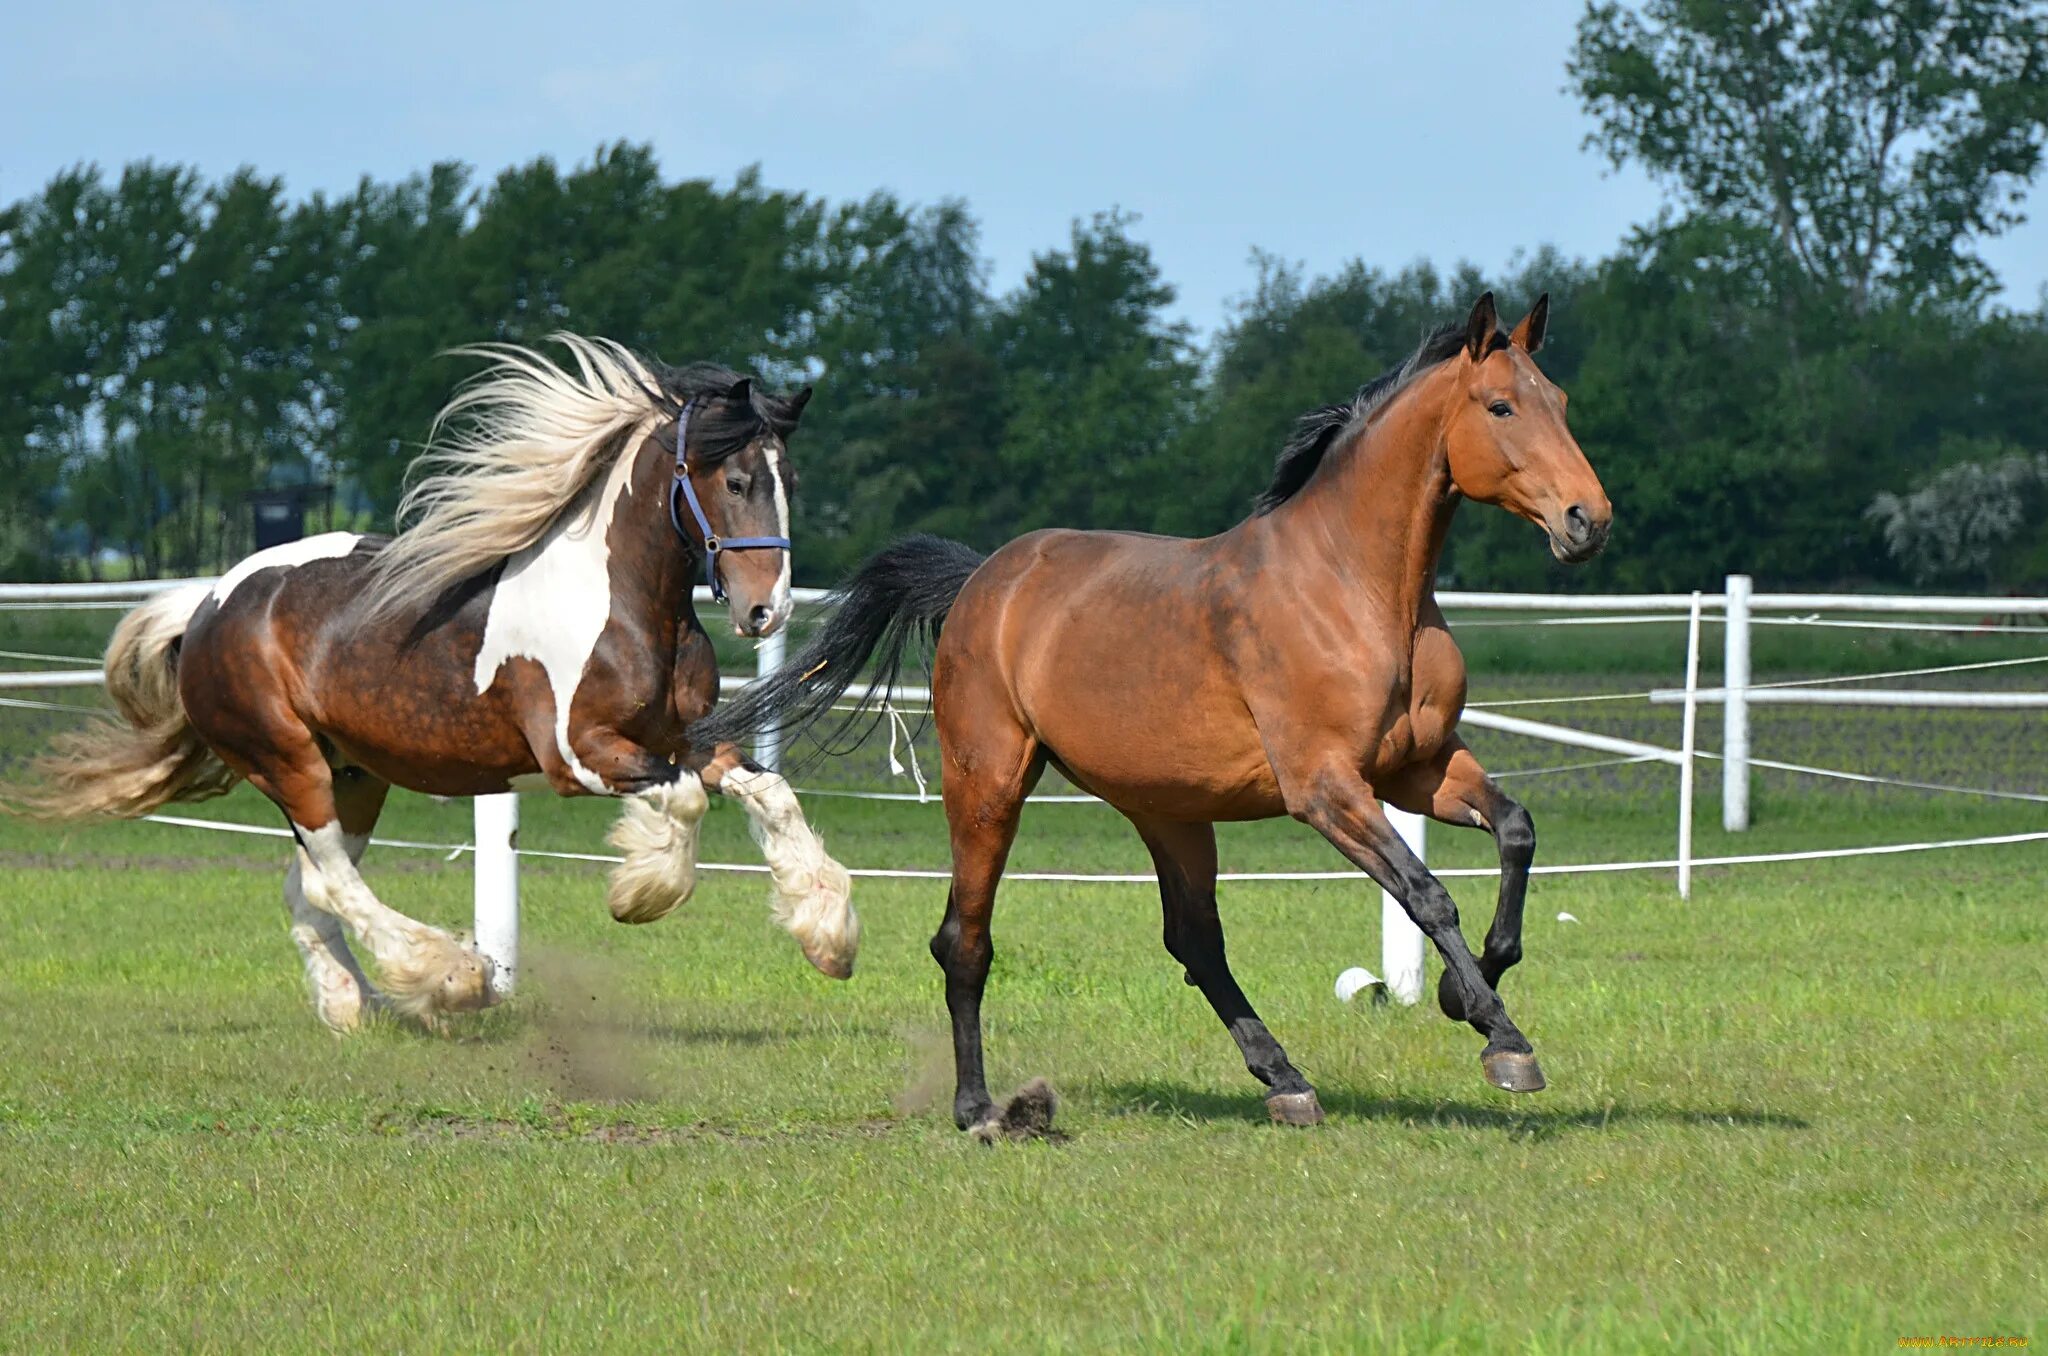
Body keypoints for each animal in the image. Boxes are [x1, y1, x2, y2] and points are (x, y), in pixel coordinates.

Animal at [9, 337, 856, 1032]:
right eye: (737, 480)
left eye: (790, 478)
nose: (766, 609)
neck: (621, 604)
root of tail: (211, 604)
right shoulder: (578, 756)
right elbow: (681, 802)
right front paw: (640, 892)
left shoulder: (686, 739)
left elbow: (768, 792)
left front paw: (830, 936)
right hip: (287, 763)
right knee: (335, 884)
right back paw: (449, 978)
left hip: (354, 776)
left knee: (309, 888)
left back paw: (361, 1006)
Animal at [704, 294, 1613, 1138]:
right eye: (1500, 406)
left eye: (1562, 400)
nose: (1588, 520)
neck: (1354, 587)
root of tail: (980, 581)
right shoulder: (1325, 787)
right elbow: (1427, 894)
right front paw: (1504, 1041)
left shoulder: (1417, 768)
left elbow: (1516, 831)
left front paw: (1467, 992)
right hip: (990, 785)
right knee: (966, 939)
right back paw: (979, 1110)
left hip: (1167, 809)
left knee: (1194, 941)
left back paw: (1286, 1082)